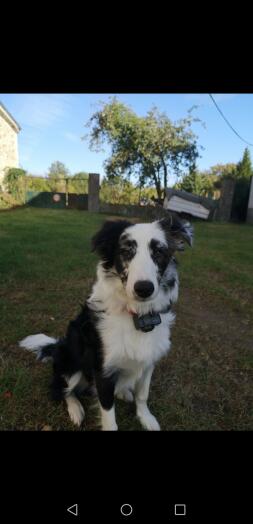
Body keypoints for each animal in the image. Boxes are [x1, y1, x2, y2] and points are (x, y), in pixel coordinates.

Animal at [19, 213, 194, 430]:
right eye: (126, 251)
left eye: (159, 251)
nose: (144, 288)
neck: (137, 316)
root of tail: (57, 345)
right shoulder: (102, 371)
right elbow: (108, 412)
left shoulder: (149, 362)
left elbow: (143, 395)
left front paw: (146, 418)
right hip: (70, 365)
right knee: (63, 390)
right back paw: (75, 409)